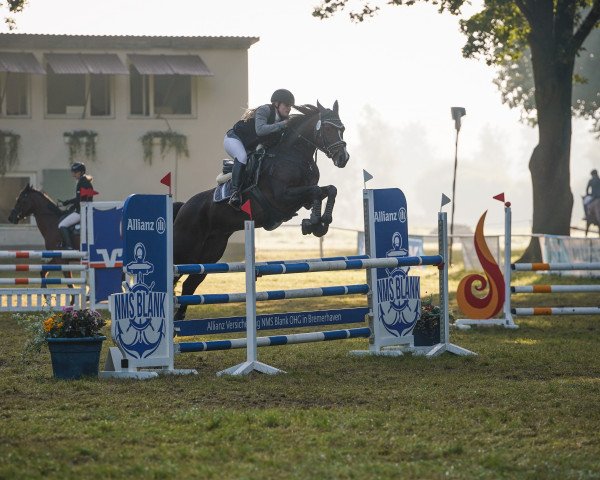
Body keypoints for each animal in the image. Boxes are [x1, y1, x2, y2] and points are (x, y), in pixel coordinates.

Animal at [173, 101, 350, 318]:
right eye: (327, 128)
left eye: (342, 129)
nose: (343, 158)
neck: (294, 155)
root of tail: (184, 206)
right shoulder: (282, 197)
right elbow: (317, 191)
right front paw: (314, 223)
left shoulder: (302, 197)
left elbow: (329, 190)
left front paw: (317, 223)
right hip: (185, 249)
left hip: (209, 254)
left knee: (189, 284)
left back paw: (178, 318)